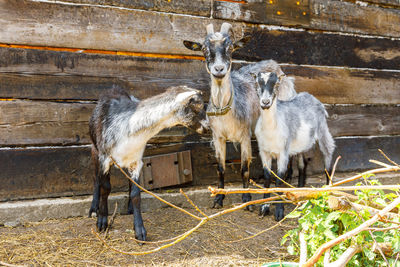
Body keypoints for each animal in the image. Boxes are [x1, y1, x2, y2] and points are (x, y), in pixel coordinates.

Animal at [87, 86, 206, 243]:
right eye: (198, 107)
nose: (207, 128)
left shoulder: (136, 161)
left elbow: (136, 193)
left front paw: (139, 231)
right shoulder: (104, 158)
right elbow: (105, 188)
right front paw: (101, 221)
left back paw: (130, 208)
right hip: (94, 148)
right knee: (96, 178)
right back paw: (93, 208)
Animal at [184, 23, 296, 209]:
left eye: (230, 48)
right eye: (204, 49)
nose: (219, 69)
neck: (226, 112)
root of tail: (276, 66)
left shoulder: (244, 135)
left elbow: (244, 169)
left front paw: (247, 200)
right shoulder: (218, 137)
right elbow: (220, 168)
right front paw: (218, 199)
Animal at [253, 73, 334, 222]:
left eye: (276, 84)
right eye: (257, 83)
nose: (265, 102)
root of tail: (310, 96)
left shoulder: (283, 153)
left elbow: (279, 179)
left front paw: (279, 212)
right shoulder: (264, 151)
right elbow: (267, 177)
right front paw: (264, 208)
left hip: (323, 130)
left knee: (328, 154)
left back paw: (328, 189)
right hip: (300, 144)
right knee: (302, 164)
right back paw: (301, 194)